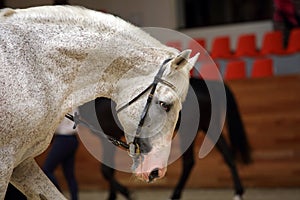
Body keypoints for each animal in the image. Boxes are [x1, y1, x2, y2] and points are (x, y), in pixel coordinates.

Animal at [78, 77, 252, 200]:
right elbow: (109, 169)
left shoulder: (110, 136)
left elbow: (106, 170)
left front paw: (128, 194)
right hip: (209, 126)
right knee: (227, 155)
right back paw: (238, 192)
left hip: (189, 130)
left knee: (189, 162)